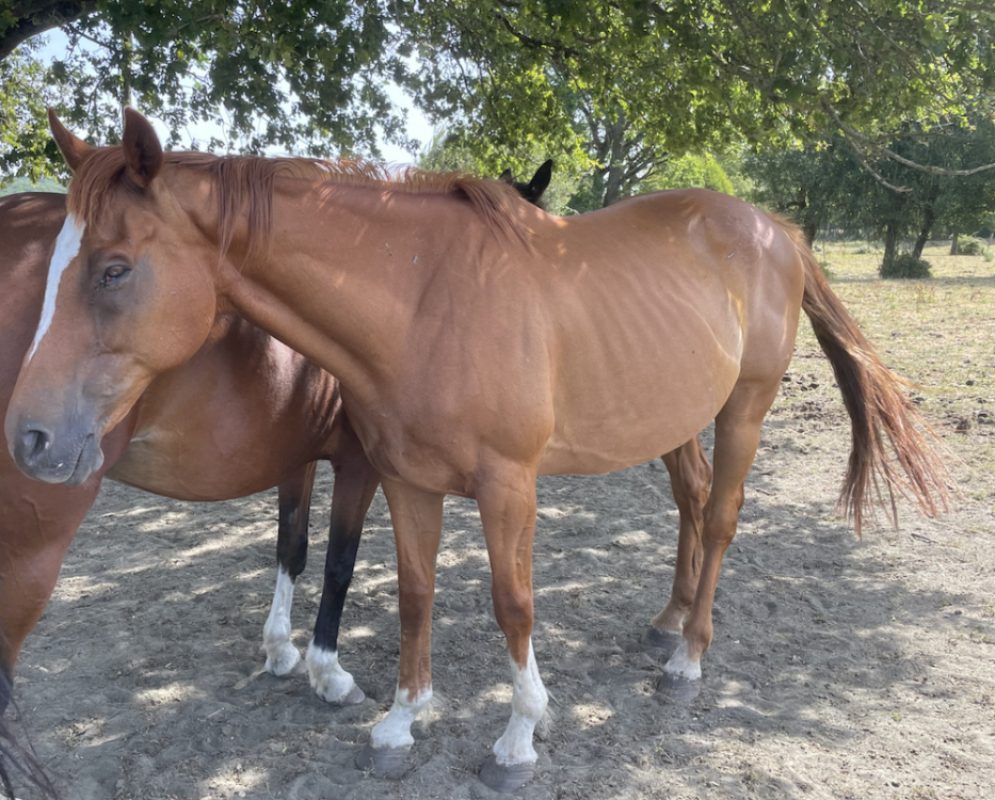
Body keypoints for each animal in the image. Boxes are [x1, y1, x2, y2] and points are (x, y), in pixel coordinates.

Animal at [5, 110, 947, 792]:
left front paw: (517, 737)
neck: (424, 301)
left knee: (718, 518)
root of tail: (775, 229)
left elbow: (511, 604)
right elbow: (413, 594)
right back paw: (666, 624)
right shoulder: (403, 480)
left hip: (744, 407)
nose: (30, 438)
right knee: (691, 503)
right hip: (676, 415)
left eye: (114, 268)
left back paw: (687, 658)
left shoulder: (506, 488)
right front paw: (398, 720)